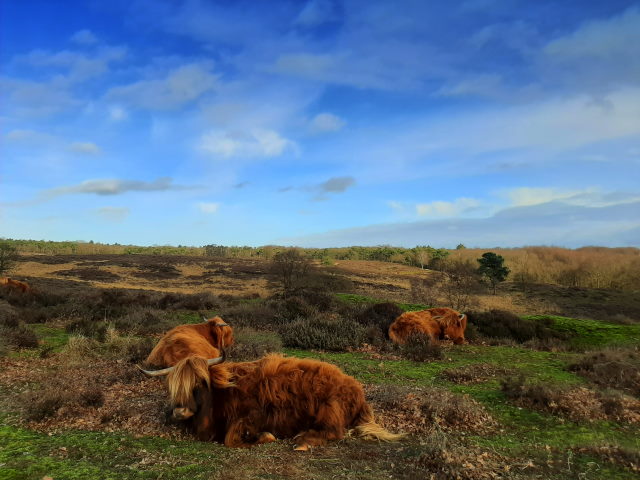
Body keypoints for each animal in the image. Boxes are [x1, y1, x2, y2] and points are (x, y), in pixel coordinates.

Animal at [140, 352, 402, 450]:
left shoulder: (253, 416)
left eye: (200, 383)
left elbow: (232, 438)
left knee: (335, 431)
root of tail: (356, 388)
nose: (180, 411)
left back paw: (302, 440)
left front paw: (264, 436)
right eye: (173, 386)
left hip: (330, 407)